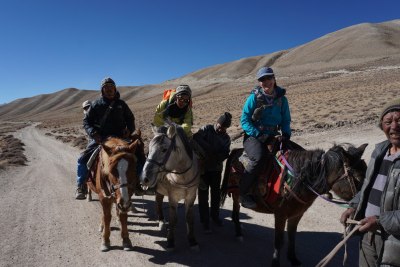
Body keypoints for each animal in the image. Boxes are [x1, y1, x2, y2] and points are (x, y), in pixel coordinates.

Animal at [141, 123, 200, 251]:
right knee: (158, 203)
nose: (144, 178)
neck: (183, 177)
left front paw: (192, 240)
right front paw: (171, 241)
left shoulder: (191, 197)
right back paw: (161, 221)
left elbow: (189, 218)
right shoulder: (173, 198)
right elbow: (173, 219)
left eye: (164, 149)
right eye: (149, 149)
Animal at [220, 141, 368, 266]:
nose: (363, 208)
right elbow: (279, 240)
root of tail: (237, 151)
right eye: (358, 178)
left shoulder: (296, 214)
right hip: (236, 193)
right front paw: (275, 262)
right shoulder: (280, 214)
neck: (299, 180)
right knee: (236, 211)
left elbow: (292, 236)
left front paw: (293, 259)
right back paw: (239, 232)